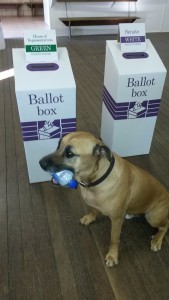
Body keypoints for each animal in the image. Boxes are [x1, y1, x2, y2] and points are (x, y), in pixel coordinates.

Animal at [39, 131, 169, 268]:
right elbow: (93, 210)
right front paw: (90, 218)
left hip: (153, 217)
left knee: (165, 226)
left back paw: (157, 240)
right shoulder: (92, 203)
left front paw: (112, 256)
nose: (40, 163)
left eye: (70, 153)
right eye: (58, 145)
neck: (94, 179)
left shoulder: (116, 219)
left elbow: (114, 239)